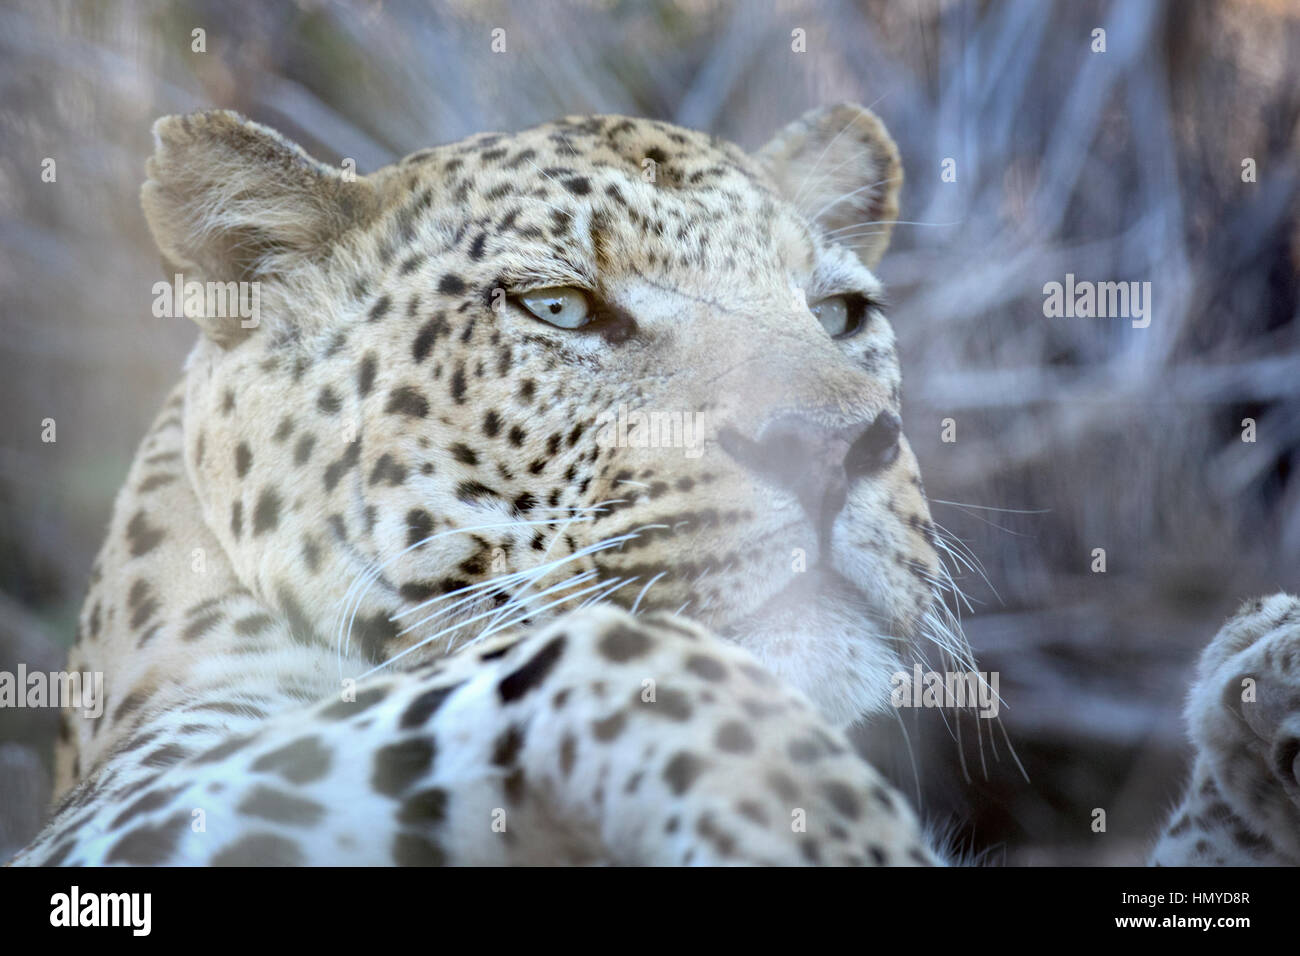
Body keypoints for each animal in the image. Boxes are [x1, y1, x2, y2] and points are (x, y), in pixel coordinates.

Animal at [9, 103, 1294, 866]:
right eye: (559, 306)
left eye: (839, 312)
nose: (835, 447)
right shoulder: (149, 801)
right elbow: (617, 645)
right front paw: (831, 827)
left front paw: (1267, 683)